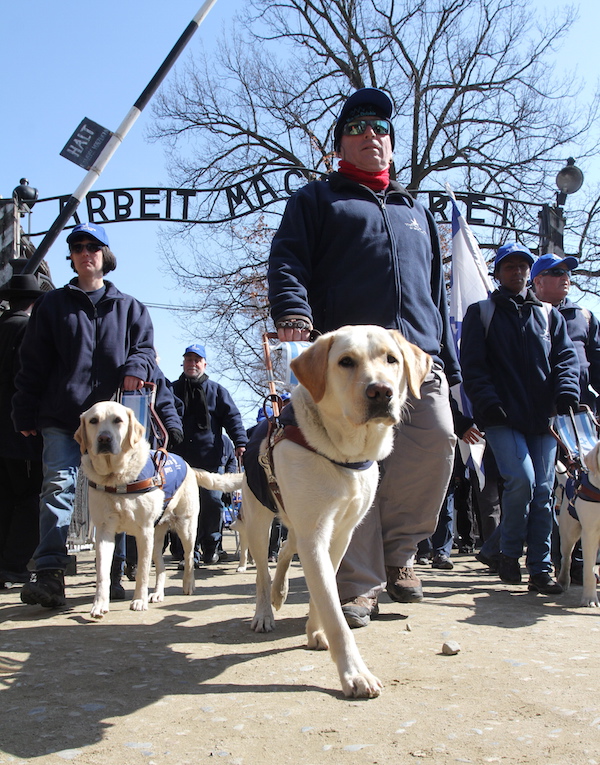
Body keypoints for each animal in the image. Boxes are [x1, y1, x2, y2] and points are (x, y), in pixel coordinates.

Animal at [75, 402, 244, 616]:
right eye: (93, 421)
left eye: (118, 420)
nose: (104, 438)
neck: (117, 478)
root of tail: (189, 466)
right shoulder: (105, 532)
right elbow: (102, 573)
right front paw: (99, 605)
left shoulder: (143, 532)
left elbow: (142, 571)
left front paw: (138, 601)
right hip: (157, 538)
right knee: (161, 567)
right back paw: (157, 594)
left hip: (186, 529)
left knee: (189, 558)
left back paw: (188, 585)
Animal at [239, 326, 432, 696]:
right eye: (346, 362)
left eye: (392, 359)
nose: (380, 391)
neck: (343, 454)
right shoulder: (314, 534)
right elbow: (333, 610)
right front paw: (355, 674)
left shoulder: (339, 533)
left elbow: (321, 593)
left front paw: (315, 631)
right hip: (258, 520)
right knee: (261, 573)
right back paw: (265, 612)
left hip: (295, 519)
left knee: (284, 550)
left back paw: (281, 592)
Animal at [556, 444, 600, 604]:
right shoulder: (590, 534)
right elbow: (588, 571)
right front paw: (590, 598)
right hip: (569, 532)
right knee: (566, 558)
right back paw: (563, 581)